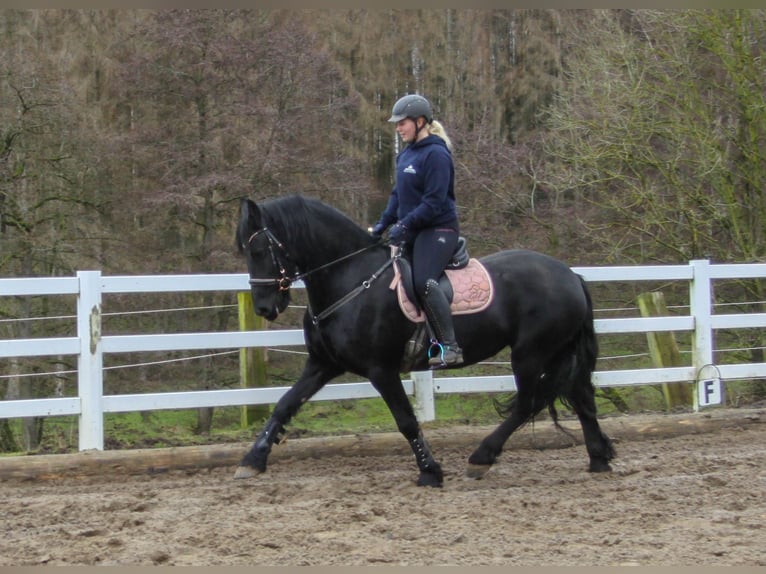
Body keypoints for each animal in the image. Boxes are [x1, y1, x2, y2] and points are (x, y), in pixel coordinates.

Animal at [234, 196, 616, 488]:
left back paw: (482, 457)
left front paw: (430, 471)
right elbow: (285, 405)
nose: (265, 308)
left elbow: (406, 420)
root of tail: (570, 275)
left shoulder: (381, 370)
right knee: (581, 396)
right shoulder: (323, 364)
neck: (351, 280)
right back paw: (599, 457)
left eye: (260, 249)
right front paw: (252, 460)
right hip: (557, 351)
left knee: (528, 402)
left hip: (530, 353)